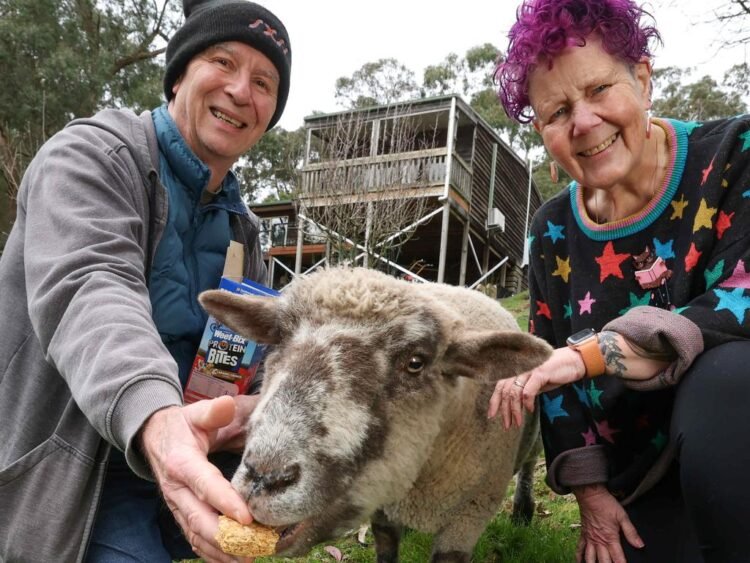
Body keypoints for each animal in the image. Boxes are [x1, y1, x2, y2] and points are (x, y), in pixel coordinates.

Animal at [199, 267, 552, 562]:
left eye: (416, 363)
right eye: (277, 343)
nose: (264, 478)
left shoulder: (468, 518)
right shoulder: (383, 508)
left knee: (530, 463)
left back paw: (523, 510)